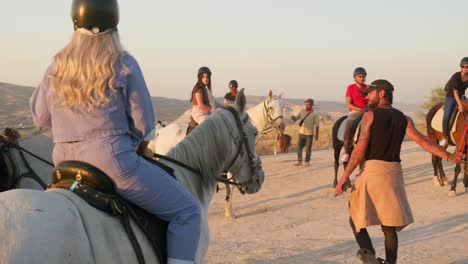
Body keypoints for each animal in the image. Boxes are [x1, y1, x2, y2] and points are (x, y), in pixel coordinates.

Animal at [148, 91, 284, 219]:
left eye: (282, 107)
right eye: (271, 108)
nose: (282, 125)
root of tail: (160, 131)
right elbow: (231, 188)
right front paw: (229, 212)